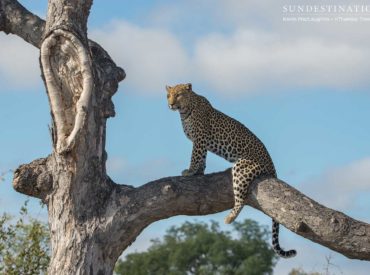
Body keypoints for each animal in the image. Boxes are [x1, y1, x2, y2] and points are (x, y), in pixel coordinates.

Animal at [166, 82, 296, 258]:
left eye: (179, 95)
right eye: (169, 95)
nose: (171, 104)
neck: (184, 110)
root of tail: (272, 166)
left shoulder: (199, 139)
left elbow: (195, 156)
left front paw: (190, 171)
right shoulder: (202, 142)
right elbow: (202, 158)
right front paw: (199, 172)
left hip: (241, 167)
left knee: (240, 200)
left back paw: (229, 218)